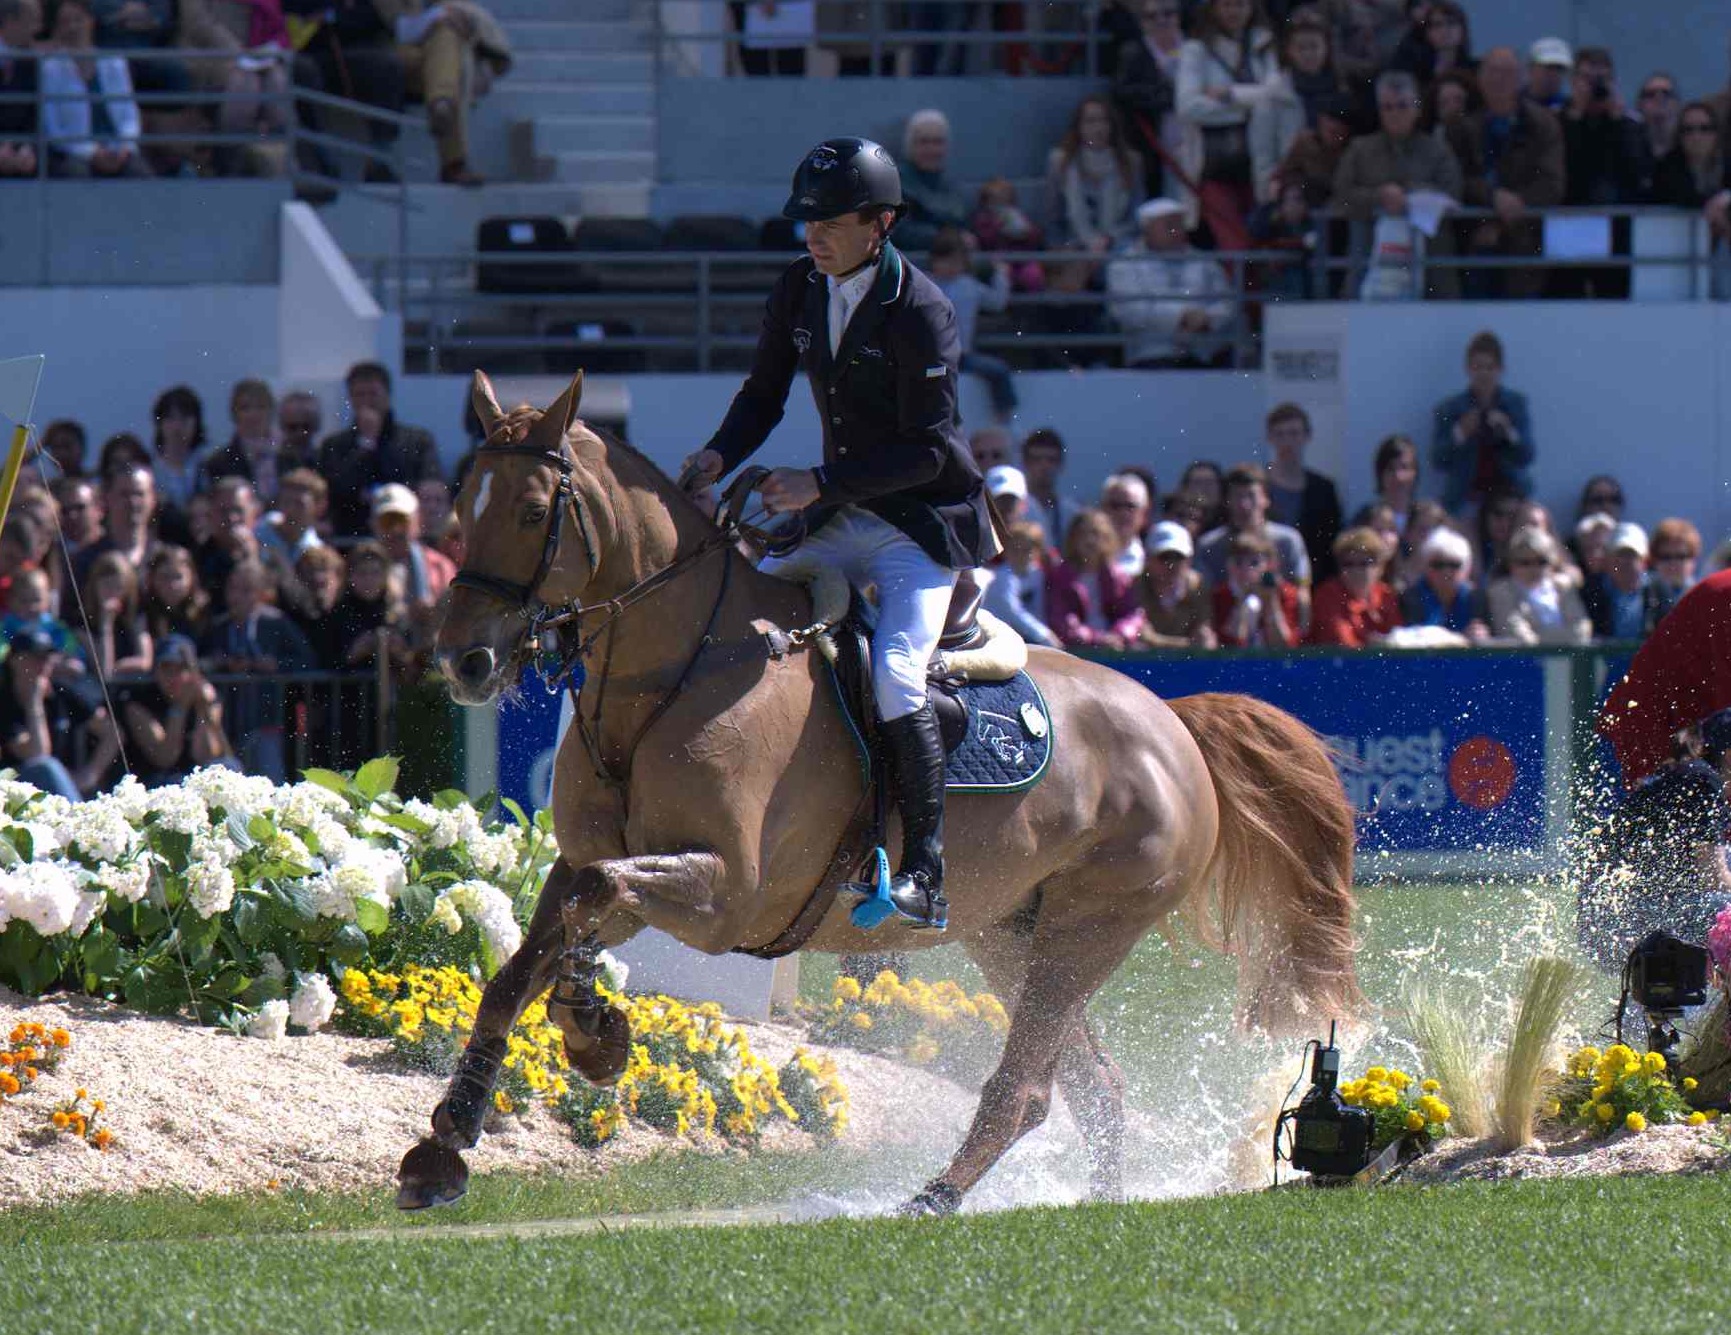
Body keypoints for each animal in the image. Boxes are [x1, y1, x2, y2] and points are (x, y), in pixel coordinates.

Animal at [396, 370, 1363, 1215]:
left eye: (532, 511)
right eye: (461, 504)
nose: (462, 660)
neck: (673, 673)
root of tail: (1173, 721)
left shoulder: (725, 893)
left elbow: (592, 909)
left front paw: (593, 1028)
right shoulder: (592, 862)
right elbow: (520, 966)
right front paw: (447, 1143)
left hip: (1086, 931)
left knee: (1026, 1087)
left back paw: (935, 1196)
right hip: (1012, 933)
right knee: (1090, 1086)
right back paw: (1096, 1201)